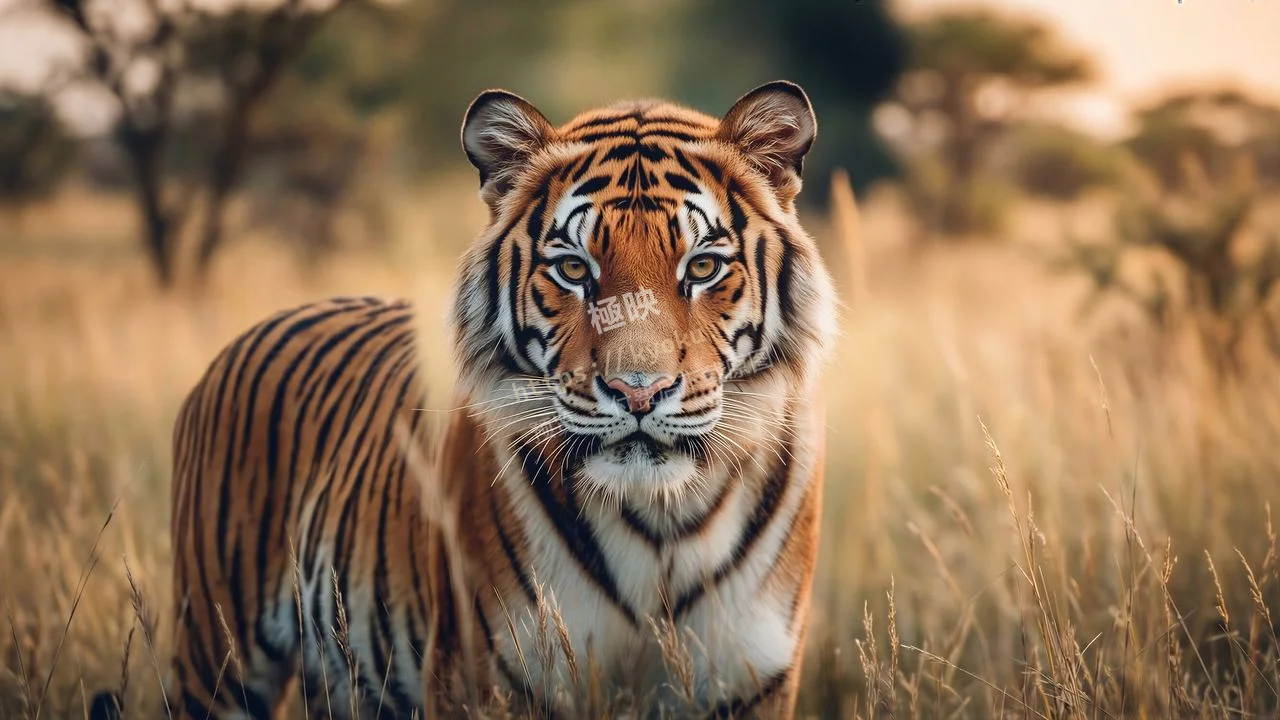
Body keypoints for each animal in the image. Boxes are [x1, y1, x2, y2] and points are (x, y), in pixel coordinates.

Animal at [89, 80, 838, 720]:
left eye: (703, 266)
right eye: (574, 269)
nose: (638, 391)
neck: (658, 522)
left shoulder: (749, 682)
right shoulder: (496, 677)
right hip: (218, 656)